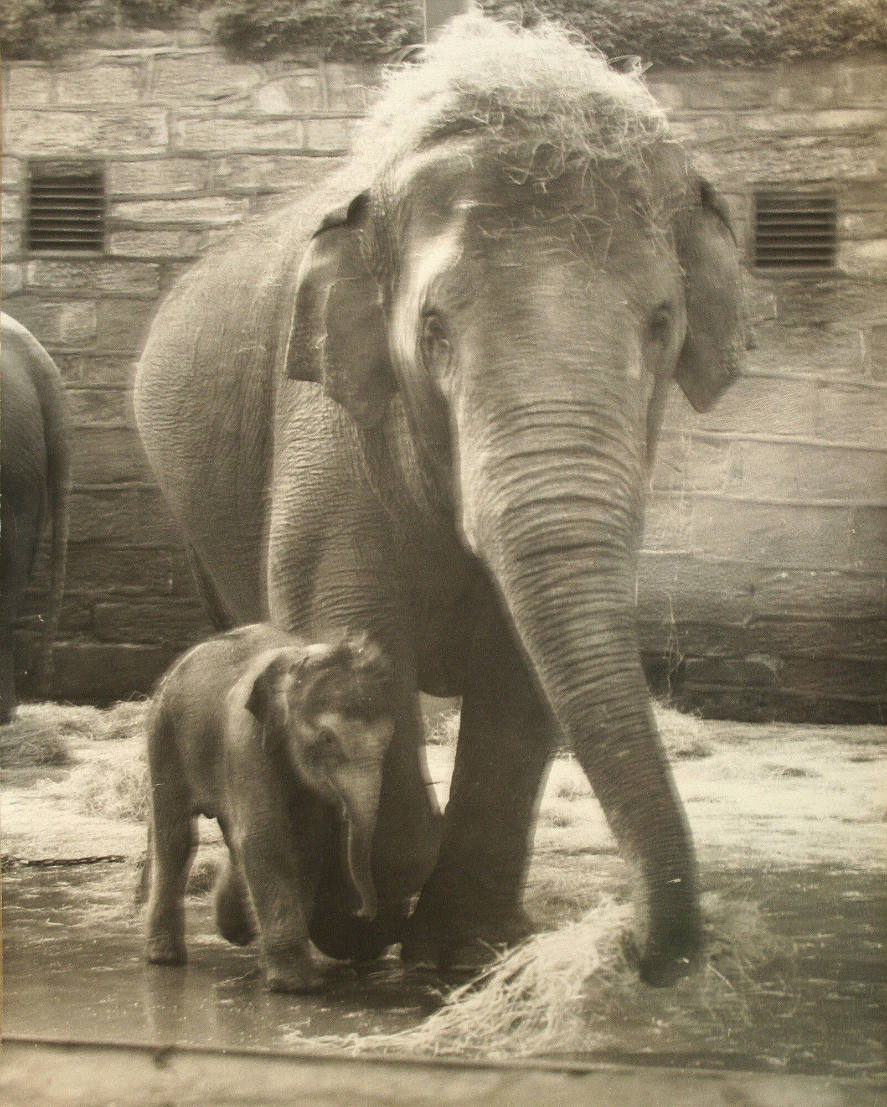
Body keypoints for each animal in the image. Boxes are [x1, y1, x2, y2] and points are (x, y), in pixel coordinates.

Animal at [145, 623, 394, 992]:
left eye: (389, 740)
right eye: (327, 739)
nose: (362, 913)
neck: (299, 658)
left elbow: (306, 842)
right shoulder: (245, 740)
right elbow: (266, 837)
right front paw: (296, 985)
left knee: (230, 836)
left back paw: (234, 930)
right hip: (164, 737)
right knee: (175, 837)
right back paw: (164, 958)